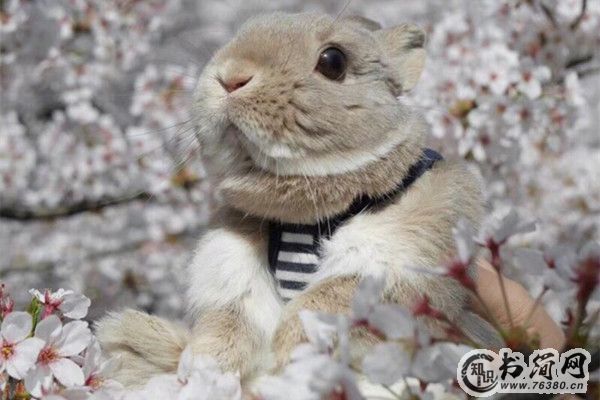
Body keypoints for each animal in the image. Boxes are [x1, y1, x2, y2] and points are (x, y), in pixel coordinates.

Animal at [96, 12, 499, 389]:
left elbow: (333, 298)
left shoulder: (407, 251)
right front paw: (203, 364)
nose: (231, 77)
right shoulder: (231, 262)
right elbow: (232, 314)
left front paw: (294, 354)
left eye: (333, 61)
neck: (304, 213)